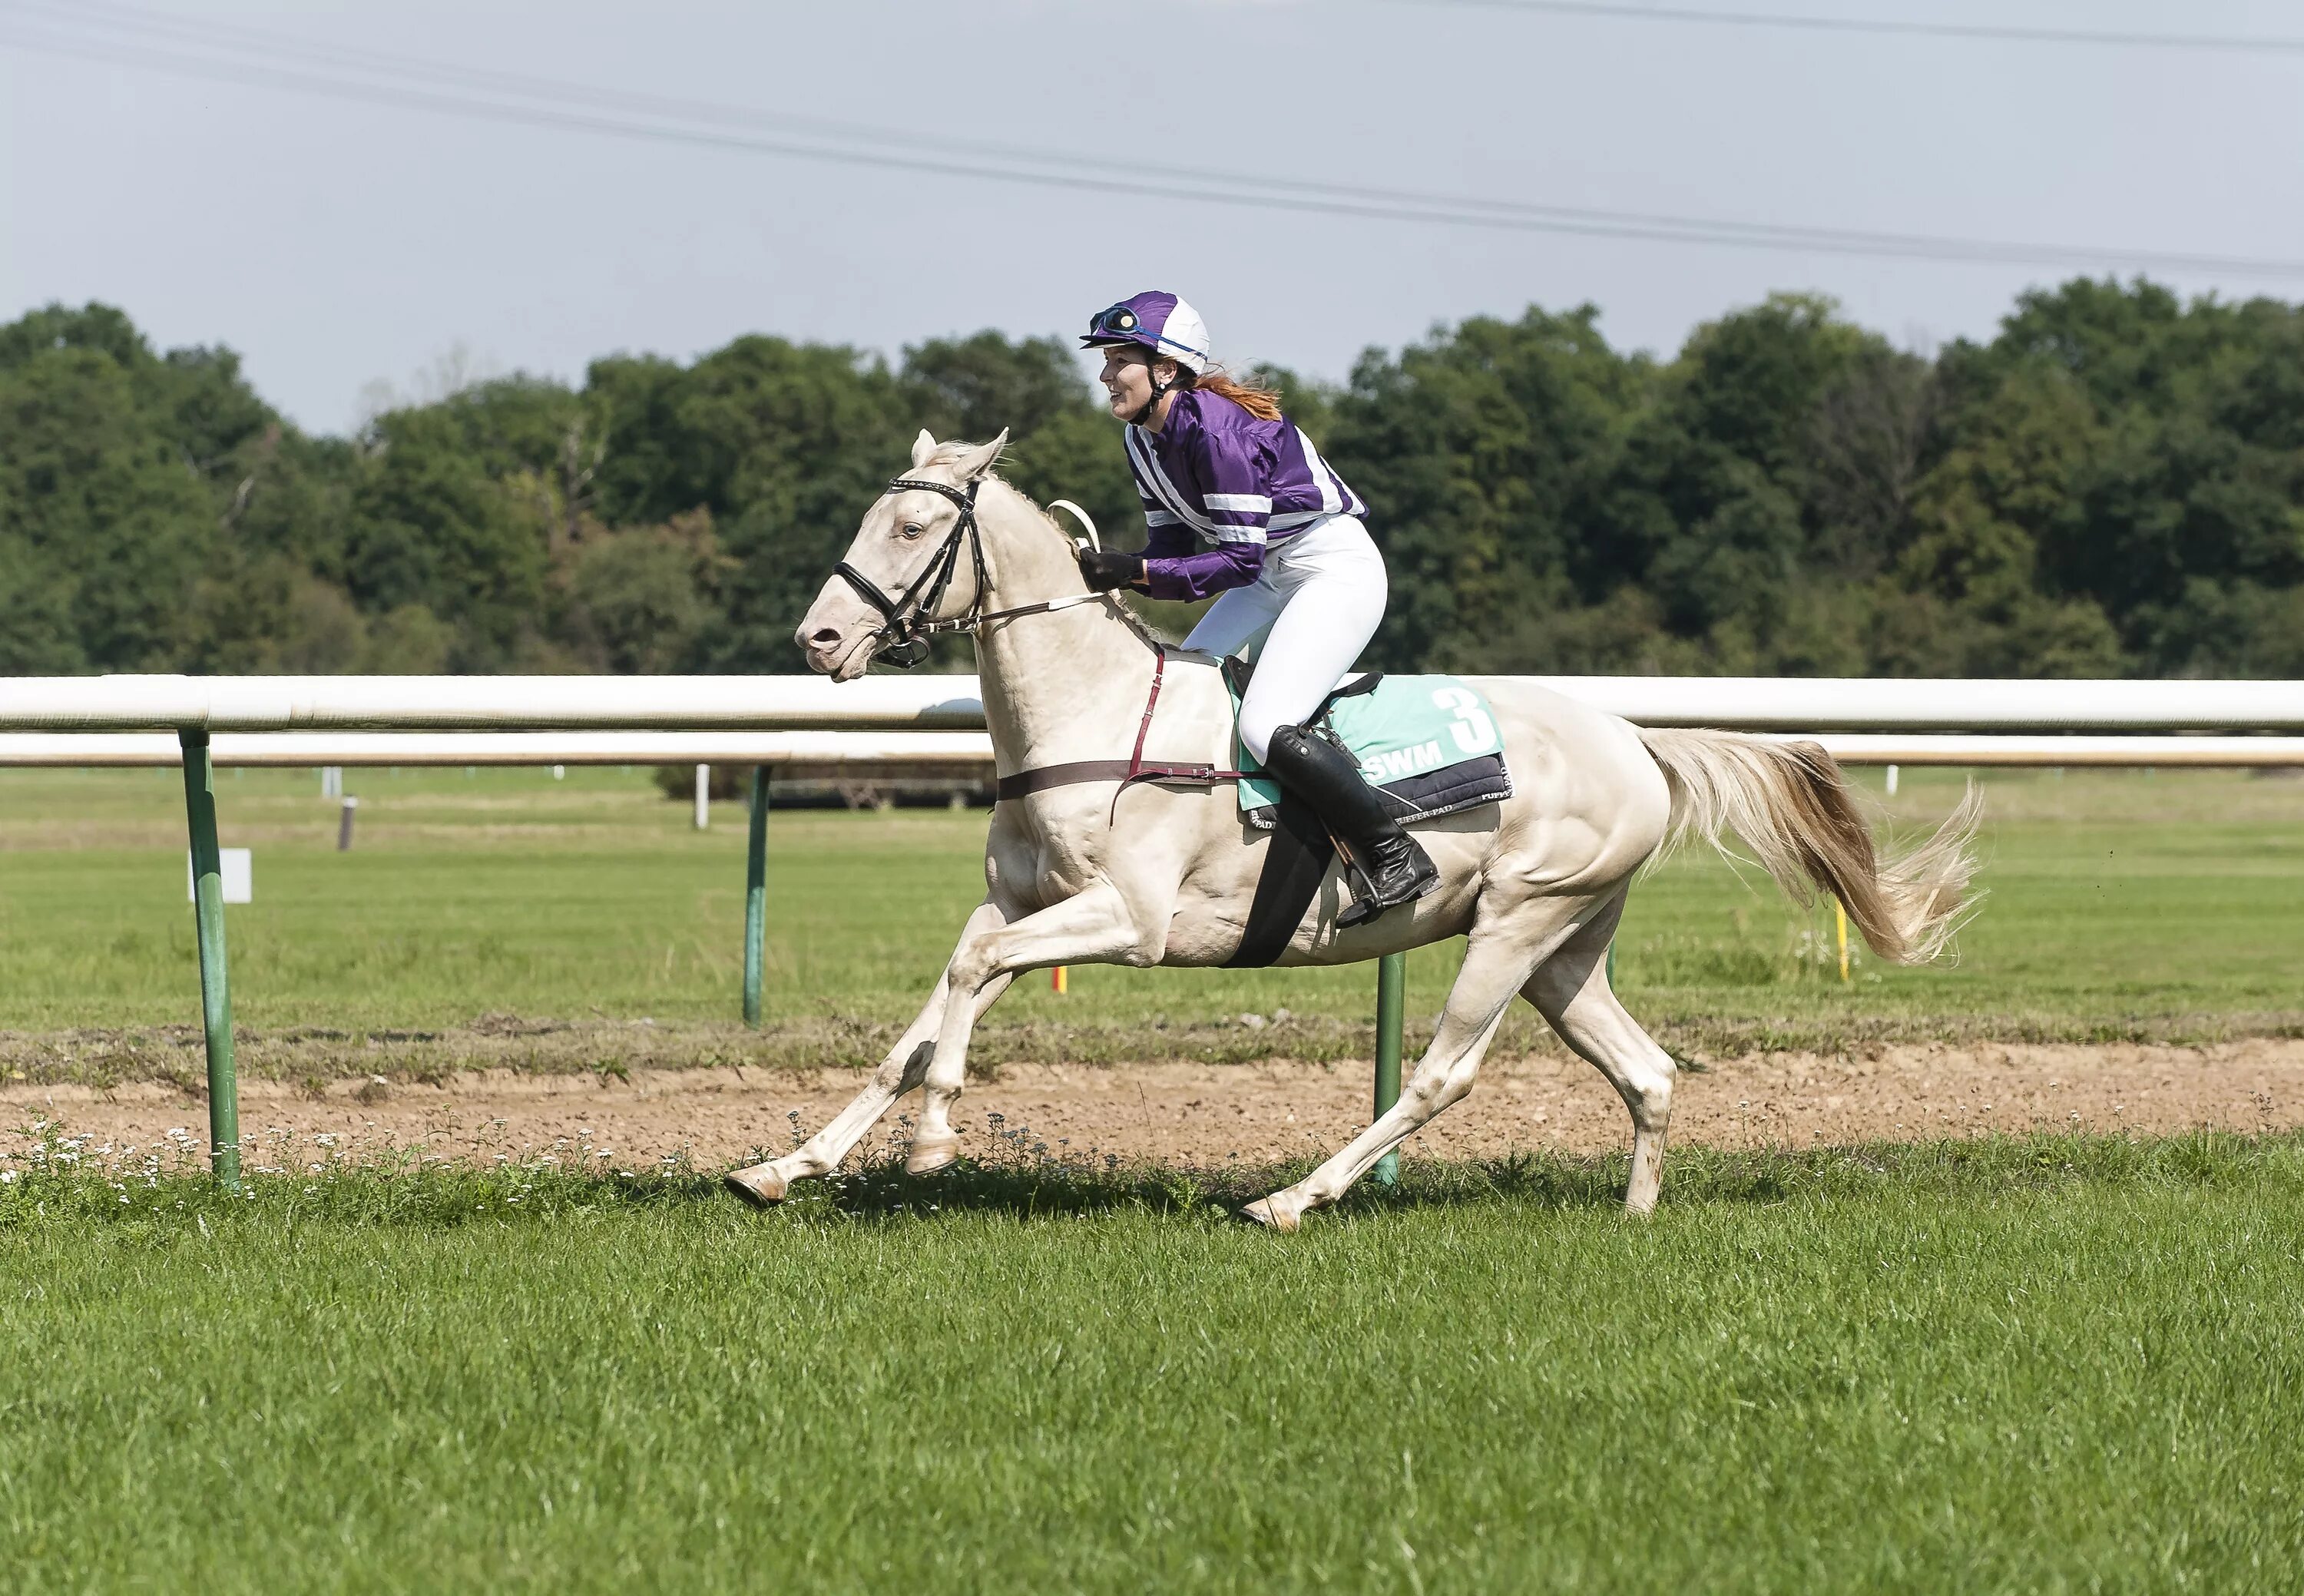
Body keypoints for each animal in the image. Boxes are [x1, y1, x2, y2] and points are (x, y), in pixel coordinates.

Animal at [723, 430, 1981, 1225]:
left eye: (912, 525)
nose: (817, 638)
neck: (1092, 711)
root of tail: (1635, 739)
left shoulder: (1127, 919)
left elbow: (969, 979)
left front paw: (934, 1140)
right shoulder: (1023, 899)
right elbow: (928, 1012)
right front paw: (789, 1164)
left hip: (1514, 927)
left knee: (1442, 1075)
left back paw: (1291, 1197)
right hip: (1567, 947)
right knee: (1649, 1070)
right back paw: (1633, 1217)